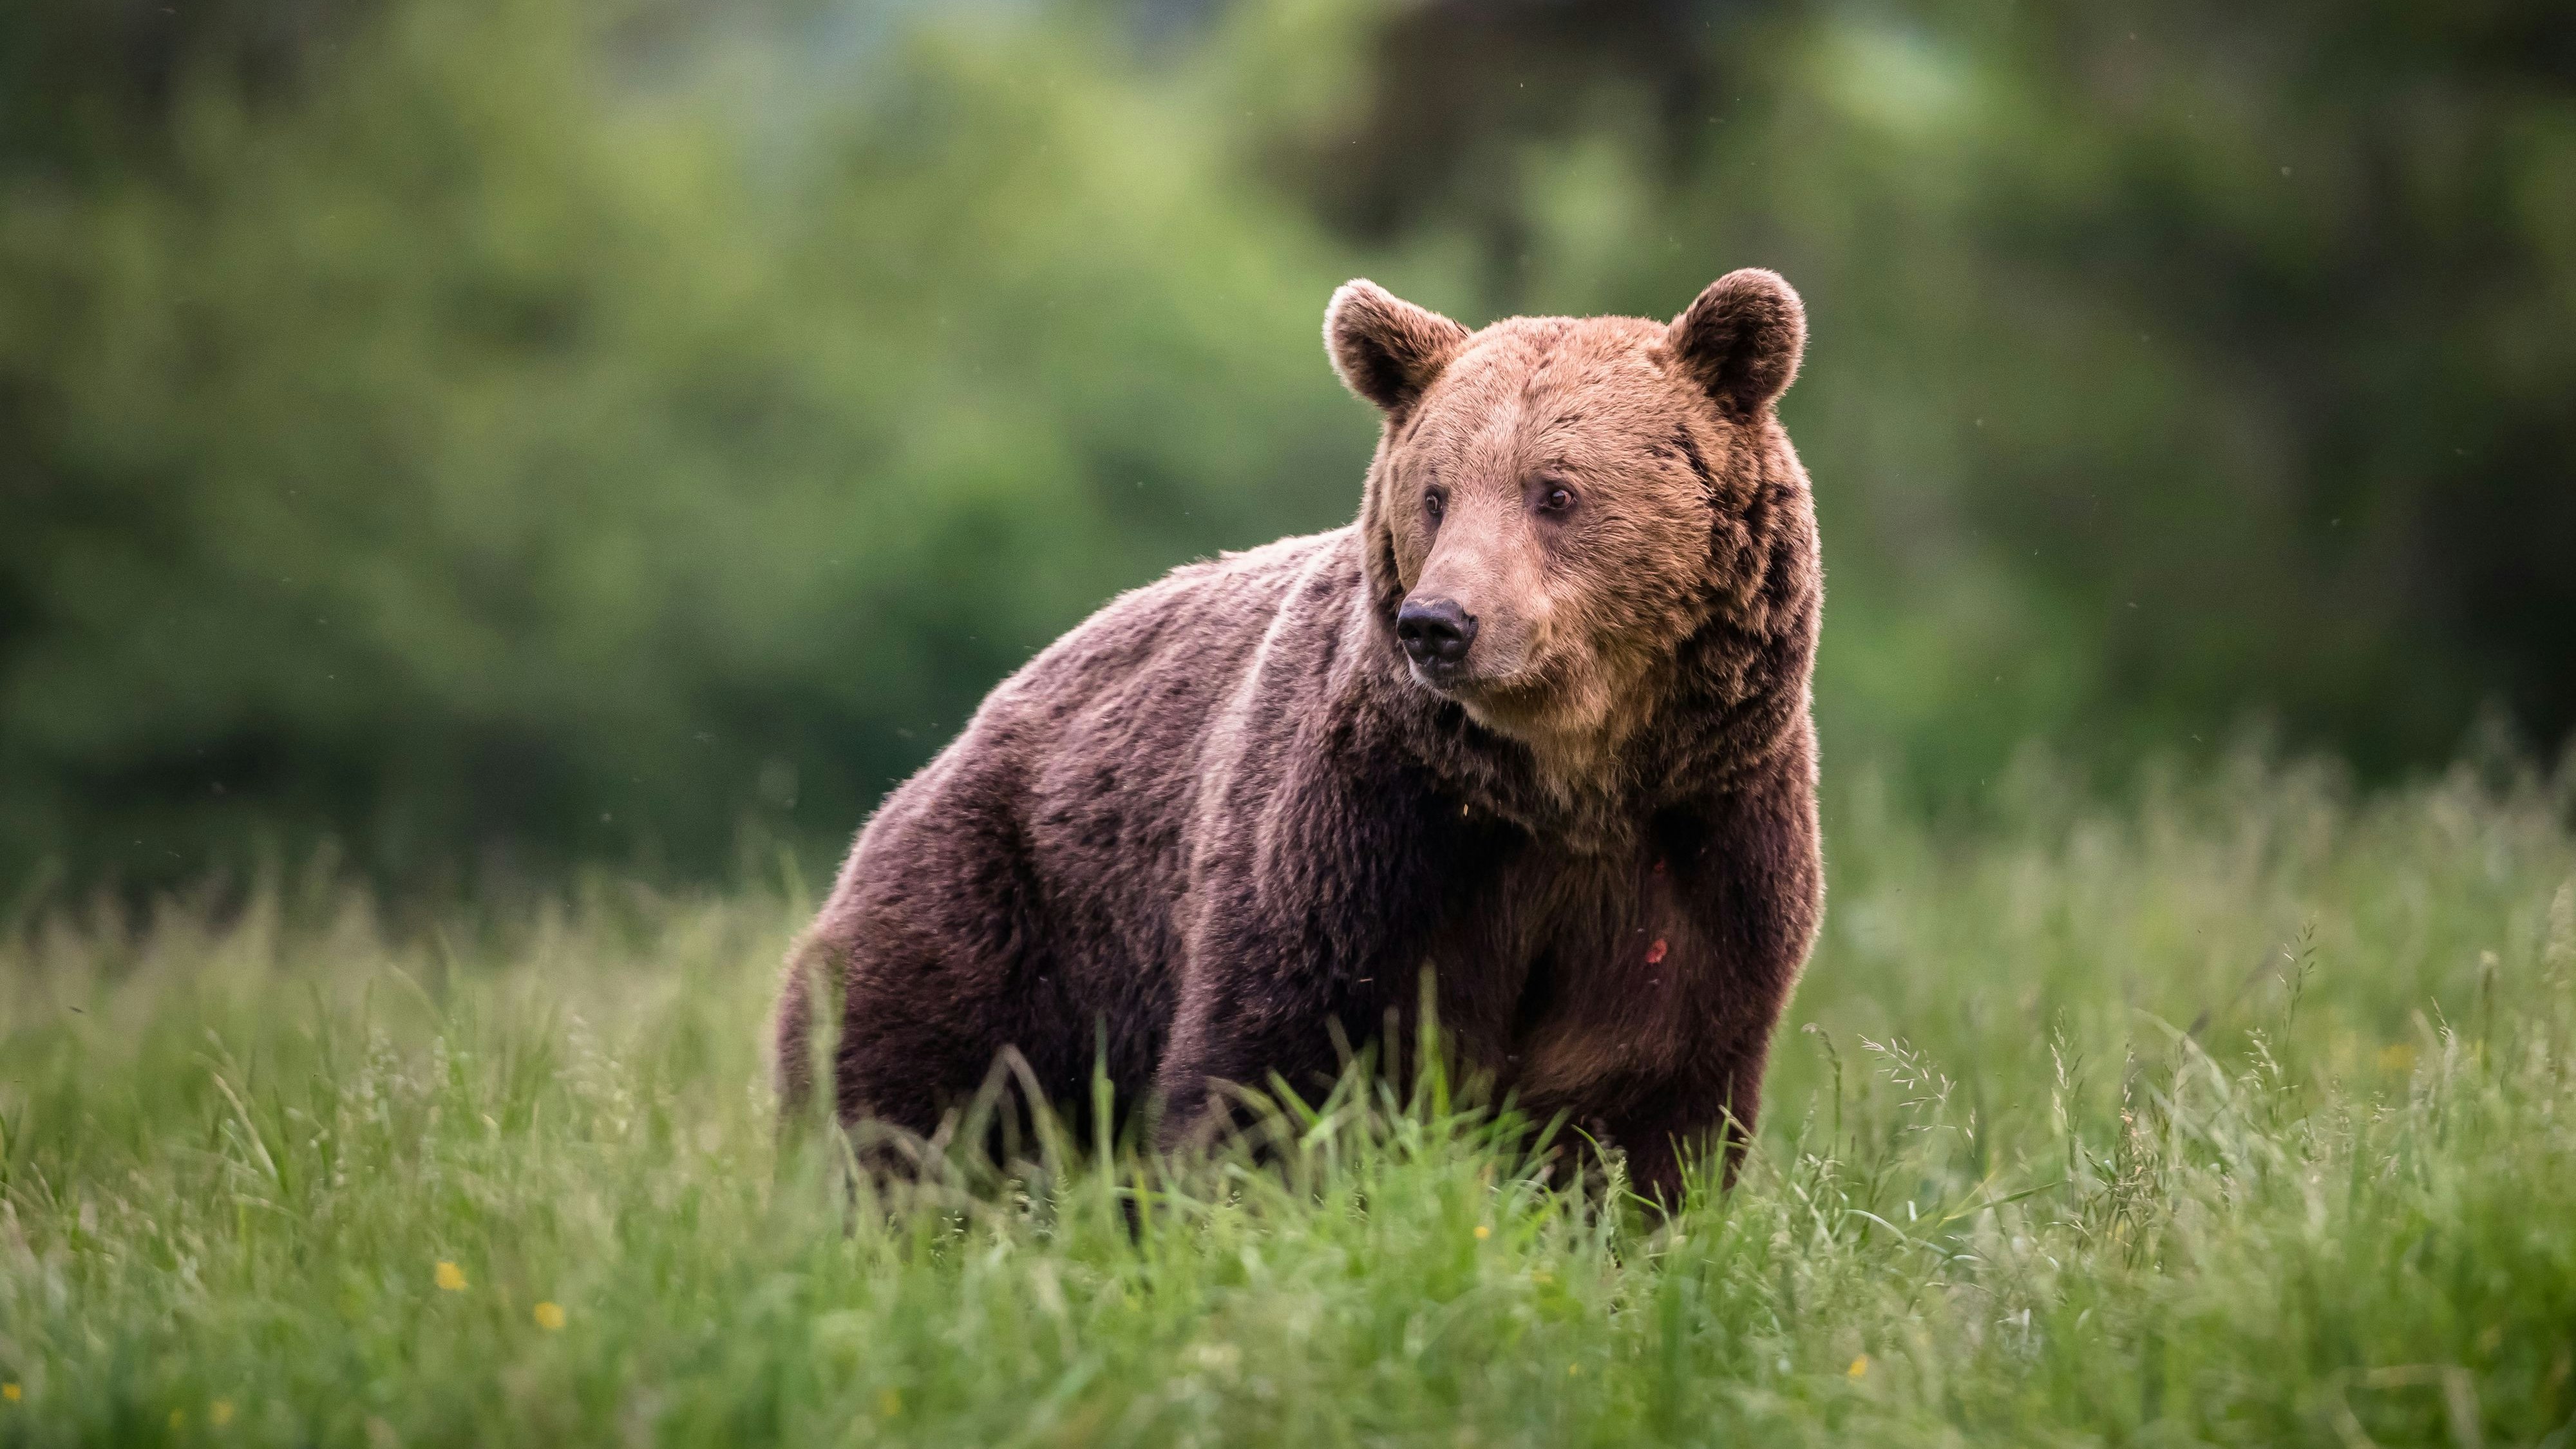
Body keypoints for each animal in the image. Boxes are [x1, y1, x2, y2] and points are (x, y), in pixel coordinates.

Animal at [773, 269, 1823, 1202]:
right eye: (1436, 493)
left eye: (1555, 491)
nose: (1439, 622)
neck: (1563, 787)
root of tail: (952, 747)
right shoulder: (1366, 845)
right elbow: (1272, 1072)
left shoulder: (1698, 858)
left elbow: (1640, 1114)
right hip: (1006, 914)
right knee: (910, 1105)